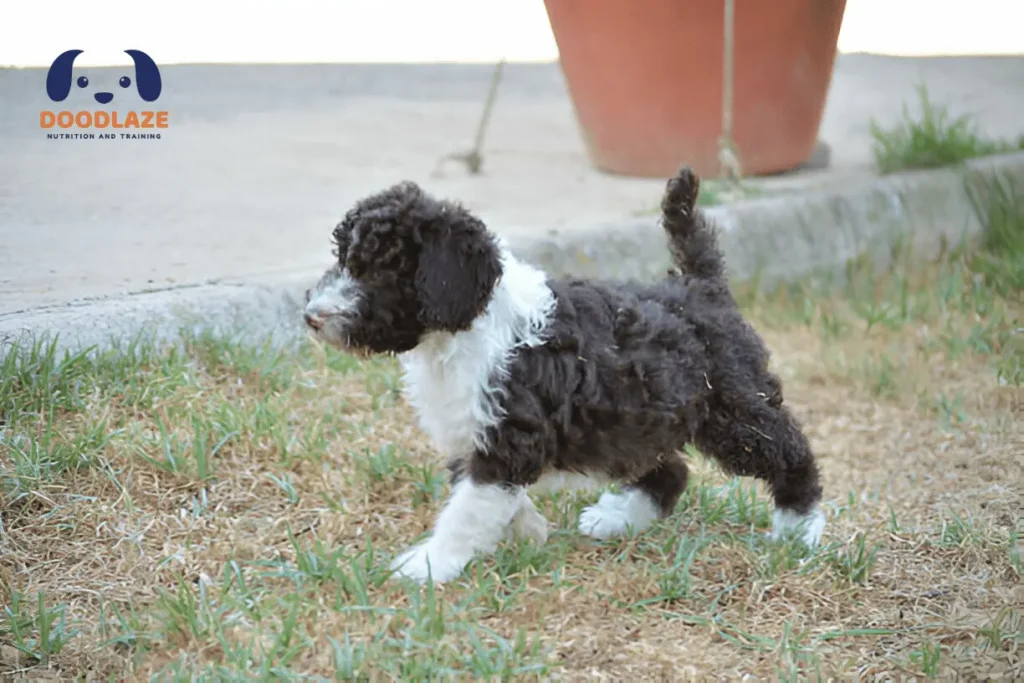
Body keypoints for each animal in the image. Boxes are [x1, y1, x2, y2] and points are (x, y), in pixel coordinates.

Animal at [301, 167, 823, 585]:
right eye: (343, 259)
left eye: (379, 270)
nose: (311, 316)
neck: (463, 332)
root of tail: (701, 286)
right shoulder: (471, 432)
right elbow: (484, 498)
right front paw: (529, 530)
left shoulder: (509, 437)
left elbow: (468, 510)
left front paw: (430, 564)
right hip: (637, 419)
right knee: (671, 471)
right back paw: (619, 519)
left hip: (733, 408)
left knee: (790, 452)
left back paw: (800, 527)